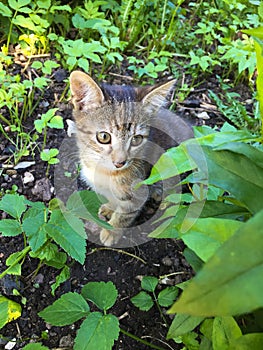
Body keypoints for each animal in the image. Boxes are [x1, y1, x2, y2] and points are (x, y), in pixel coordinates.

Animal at [69, 71, 194, 246]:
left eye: (136, 139)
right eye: (104, 137)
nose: (120, 162)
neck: (104, 172)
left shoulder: (138, 192)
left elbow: (125, 214)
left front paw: (112, 231)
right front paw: (110, 207)